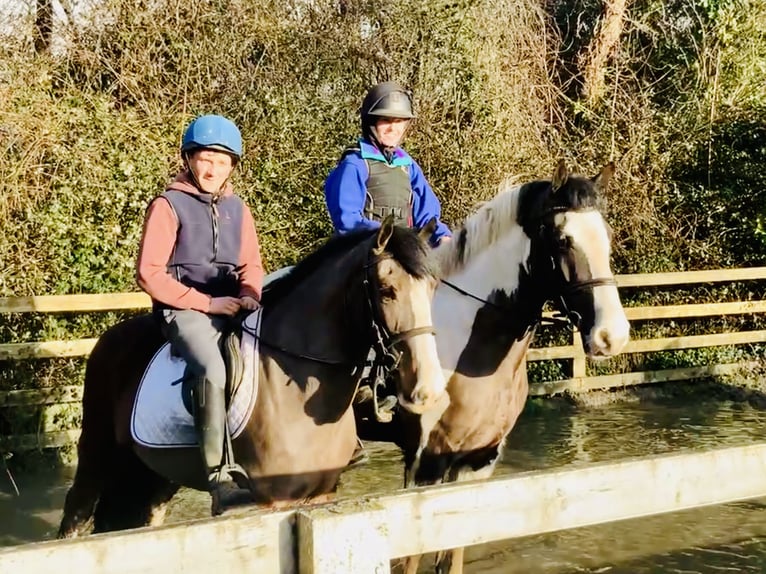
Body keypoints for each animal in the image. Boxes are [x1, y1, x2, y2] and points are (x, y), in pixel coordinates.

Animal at [368, 162, 632, 574]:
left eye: (607, 237)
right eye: (562, 240)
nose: (612, 336)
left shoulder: (476, 461)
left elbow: (451, 556)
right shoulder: (424, 462)